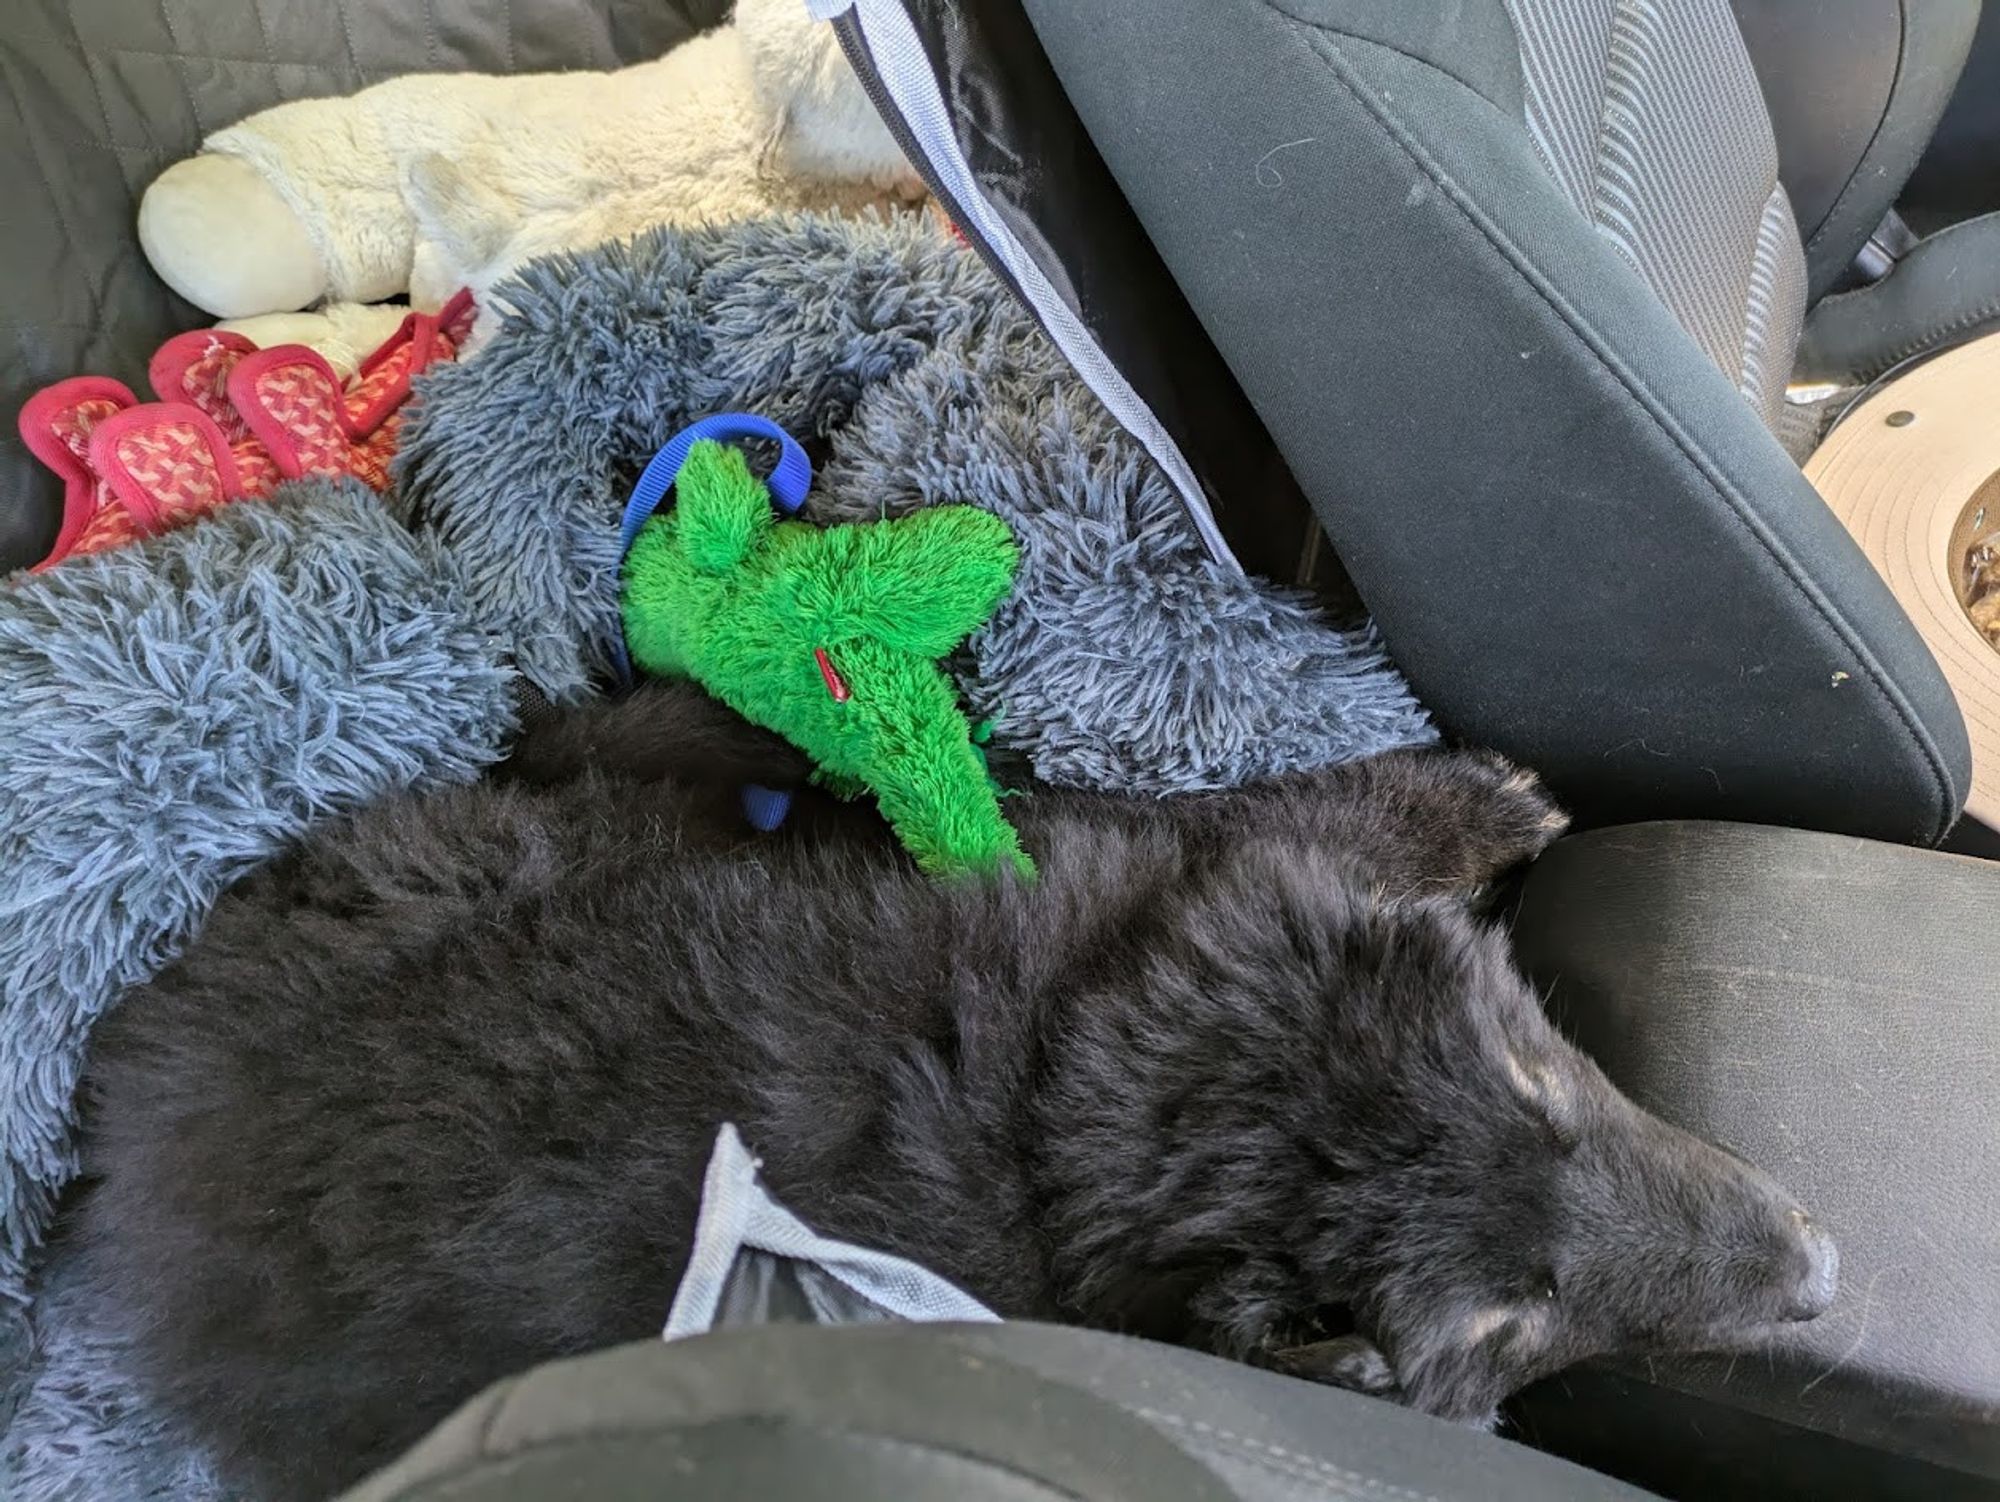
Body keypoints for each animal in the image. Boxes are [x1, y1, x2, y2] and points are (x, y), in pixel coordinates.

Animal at [66, 684, 1832, 1502]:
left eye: (1545, 1074)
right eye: (1502, 1326)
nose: (1820, 1269)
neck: (1074, 1114)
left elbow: (1272, 824)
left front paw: (1465, 801)